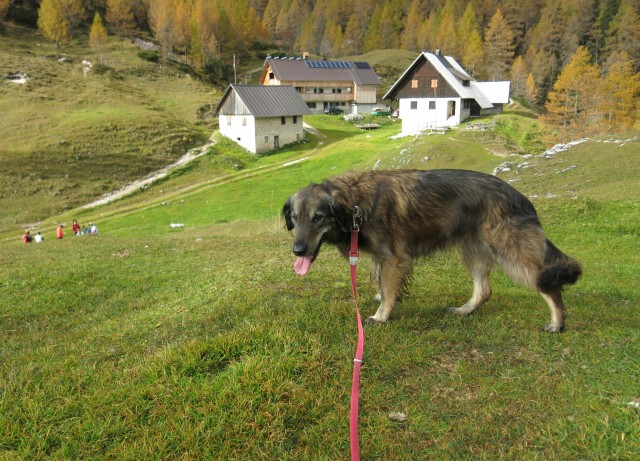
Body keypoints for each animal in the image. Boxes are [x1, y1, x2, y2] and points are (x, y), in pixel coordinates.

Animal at [282, 169, 584, 330]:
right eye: (295, 218)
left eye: (317, 218)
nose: (298, 250)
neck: (353, 205)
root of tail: (521, 198)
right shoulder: (380, 258)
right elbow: (379, 282)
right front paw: (381, 298)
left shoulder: (395, 259)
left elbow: (388, 289)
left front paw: (381, 315)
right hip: (473, 249)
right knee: (484, 290)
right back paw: (464, 310)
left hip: (510, 252)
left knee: (546, 283)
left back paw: (558, 322)